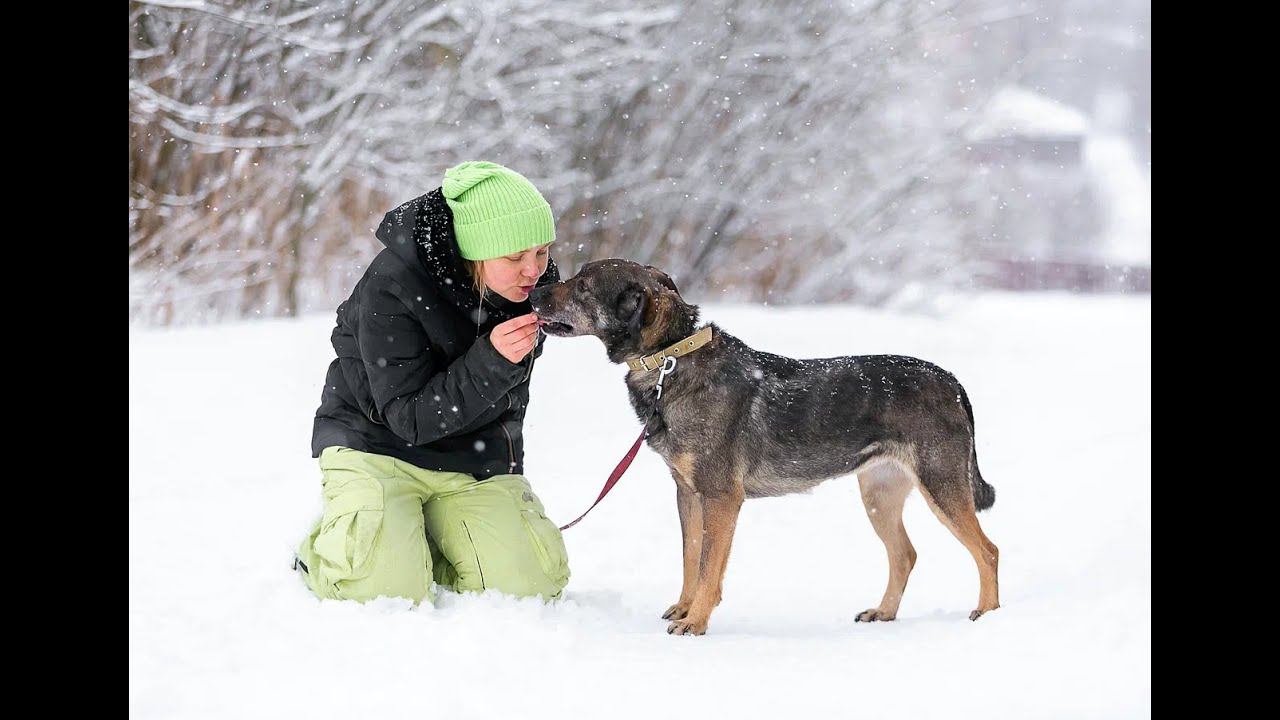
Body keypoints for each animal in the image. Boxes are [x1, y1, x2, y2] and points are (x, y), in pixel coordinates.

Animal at [529, 258, 998, 632]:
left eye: (584, 285)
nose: (533, 292)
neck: (670, 360)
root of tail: (952, 382)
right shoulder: (688, 494)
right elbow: (690, 560)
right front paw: (684, 609)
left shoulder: (721, 498)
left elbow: (709, 568)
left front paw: (696, 622)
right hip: (879, 495)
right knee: (905, 555)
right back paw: (884, 613)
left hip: (941, 485)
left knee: (987, 551)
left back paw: (988, 615)